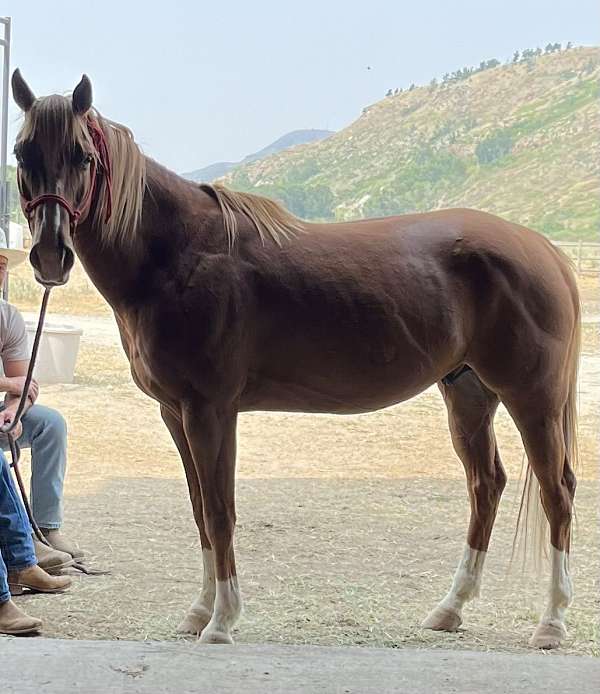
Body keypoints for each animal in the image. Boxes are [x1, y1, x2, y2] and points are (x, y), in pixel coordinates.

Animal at [11, 70, 580, 648]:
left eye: (83, 156)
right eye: (21, 152)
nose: (51, 256)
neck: (180, 255)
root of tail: (544, 250)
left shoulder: (210, 411)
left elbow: (219, 512)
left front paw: (222, 621)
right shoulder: (175, 413)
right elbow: (199, 511)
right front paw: (199, 612)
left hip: (532, 399)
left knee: (557, 493)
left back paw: (551, 622)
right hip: (467, 392)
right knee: (486, 485)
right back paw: (450, 608)